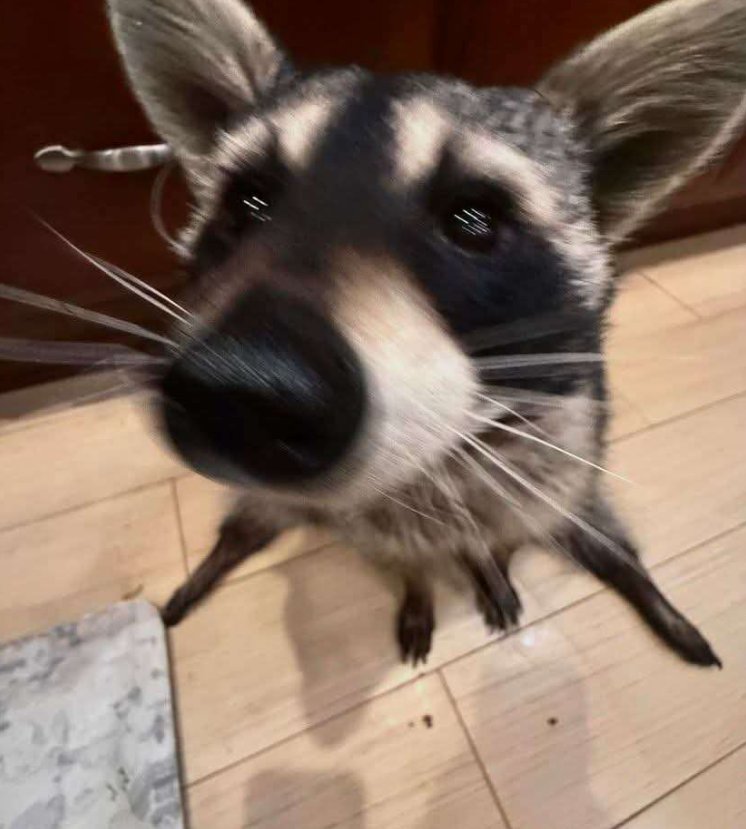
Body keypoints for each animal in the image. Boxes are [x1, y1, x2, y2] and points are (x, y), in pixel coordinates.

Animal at [107, 0, 746, 667]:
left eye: (474, 221)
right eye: (249, 201)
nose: (242, 390)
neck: (439, 455)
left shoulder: (545, 465)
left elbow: (502, 535)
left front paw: (489, 562)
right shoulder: (363, 517)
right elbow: (401, 557)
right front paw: (417, 590)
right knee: (252, 518)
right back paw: (215, 561)